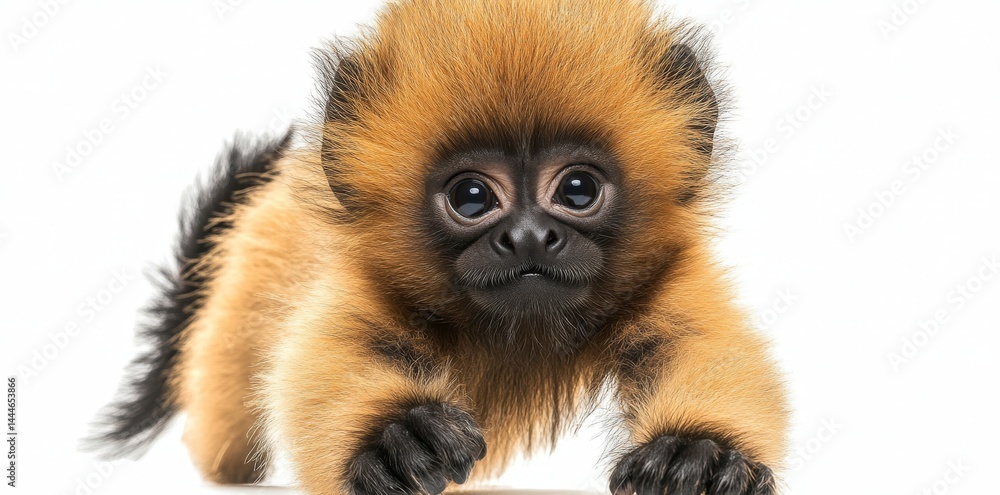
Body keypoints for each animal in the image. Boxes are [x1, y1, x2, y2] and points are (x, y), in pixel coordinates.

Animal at [85, 1, 789, 494]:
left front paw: (699, 448)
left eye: (579, 189)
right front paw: (391, 436)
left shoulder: (668, 275)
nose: (528, 237)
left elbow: (694, 344)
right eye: (472, 197)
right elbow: (335, 352)